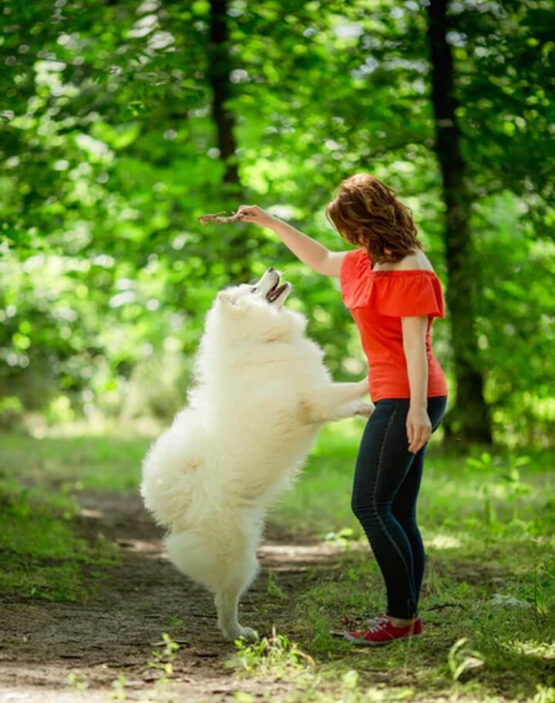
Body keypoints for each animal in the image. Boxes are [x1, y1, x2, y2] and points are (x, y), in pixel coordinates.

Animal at [139, 268, 376, 644]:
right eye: (253, 289)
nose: (272, 270)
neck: (258, 342)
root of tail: (177, 509)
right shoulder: (312, 400)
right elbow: (344, 390)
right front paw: (370, 377)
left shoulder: (317, 401)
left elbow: (345, 401)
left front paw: (366, 408)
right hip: (239, 557)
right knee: (225, 598)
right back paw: (239, 632)